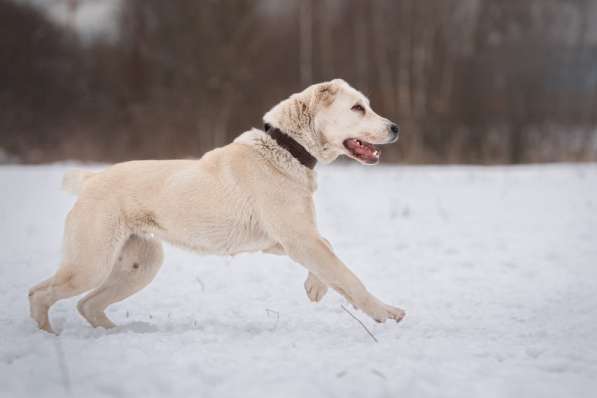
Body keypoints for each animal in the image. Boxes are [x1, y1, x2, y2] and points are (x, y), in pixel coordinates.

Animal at [28, 77, 402, 332]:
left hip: (139, 266)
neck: (286, 149)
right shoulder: (297, 239)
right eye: (358, 108)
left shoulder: (283, 240)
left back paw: (114, 334)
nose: (396, 127)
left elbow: (330, 247)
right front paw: (386, 313)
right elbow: (349, 277)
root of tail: (91, 180)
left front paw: (315, 287)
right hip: (90, 264)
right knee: (40, 294)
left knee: (87, 304)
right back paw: (48, 336)